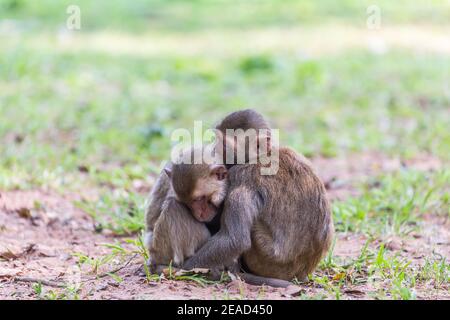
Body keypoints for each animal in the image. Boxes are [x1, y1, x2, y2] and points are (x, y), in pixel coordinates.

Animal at [179, 109, 334, 280]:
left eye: (224, 145)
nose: (214, 151)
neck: (265, 155)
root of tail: (300, 274)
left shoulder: (240, 176)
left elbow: (234, 240)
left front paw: (183, 268)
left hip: (264, 260)